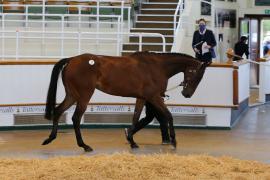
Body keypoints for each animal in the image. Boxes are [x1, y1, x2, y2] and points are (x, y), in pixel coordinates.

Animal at [43, 51, 209, 151]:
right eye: (197, 76)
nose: (187, 94)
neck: (157, 67)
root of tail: (71, 60)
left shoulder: (142, 98)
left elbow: (135, 117)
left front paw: (132, 140)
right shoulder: (154, 97)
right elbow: (168, 116)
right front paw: (174, 141)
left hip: (72, 95)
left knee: (58, 111)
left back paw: (50, 138)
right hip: (84, 96)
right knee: (76, 118)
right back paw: (84, 145)